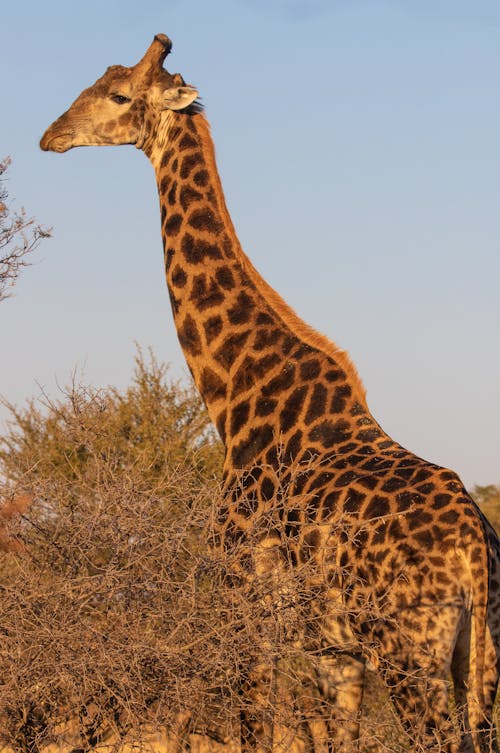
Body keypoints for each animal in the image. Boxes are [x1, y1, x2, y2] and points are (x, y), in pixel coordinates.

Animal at [41, 35, 498, 752]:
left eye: (118, 95)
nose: (51, 135)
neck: (234, 400)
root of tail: (475, 552)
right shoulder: (331, 649)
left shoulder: (241, 603)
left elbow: (252, 724)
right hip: (479, 660)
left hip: (411, 656)